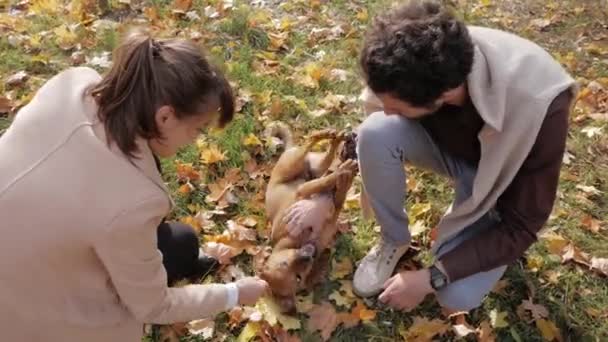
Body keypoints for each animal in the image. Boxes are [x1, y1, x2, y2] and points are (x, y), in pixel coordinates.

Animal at [260, 124, 356, 314]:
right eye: (298, 278)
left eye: (283, 263)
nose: (307, 256)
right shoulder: (330, 210)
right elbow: (338, 193)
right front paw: (345, 176)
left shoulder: (303, 191)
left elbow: (327, 182)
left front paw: (343, 172)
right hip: (312, 168)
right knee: (325, 160)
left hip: (295, 163)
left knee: (311, 142)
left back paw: (331, 135)